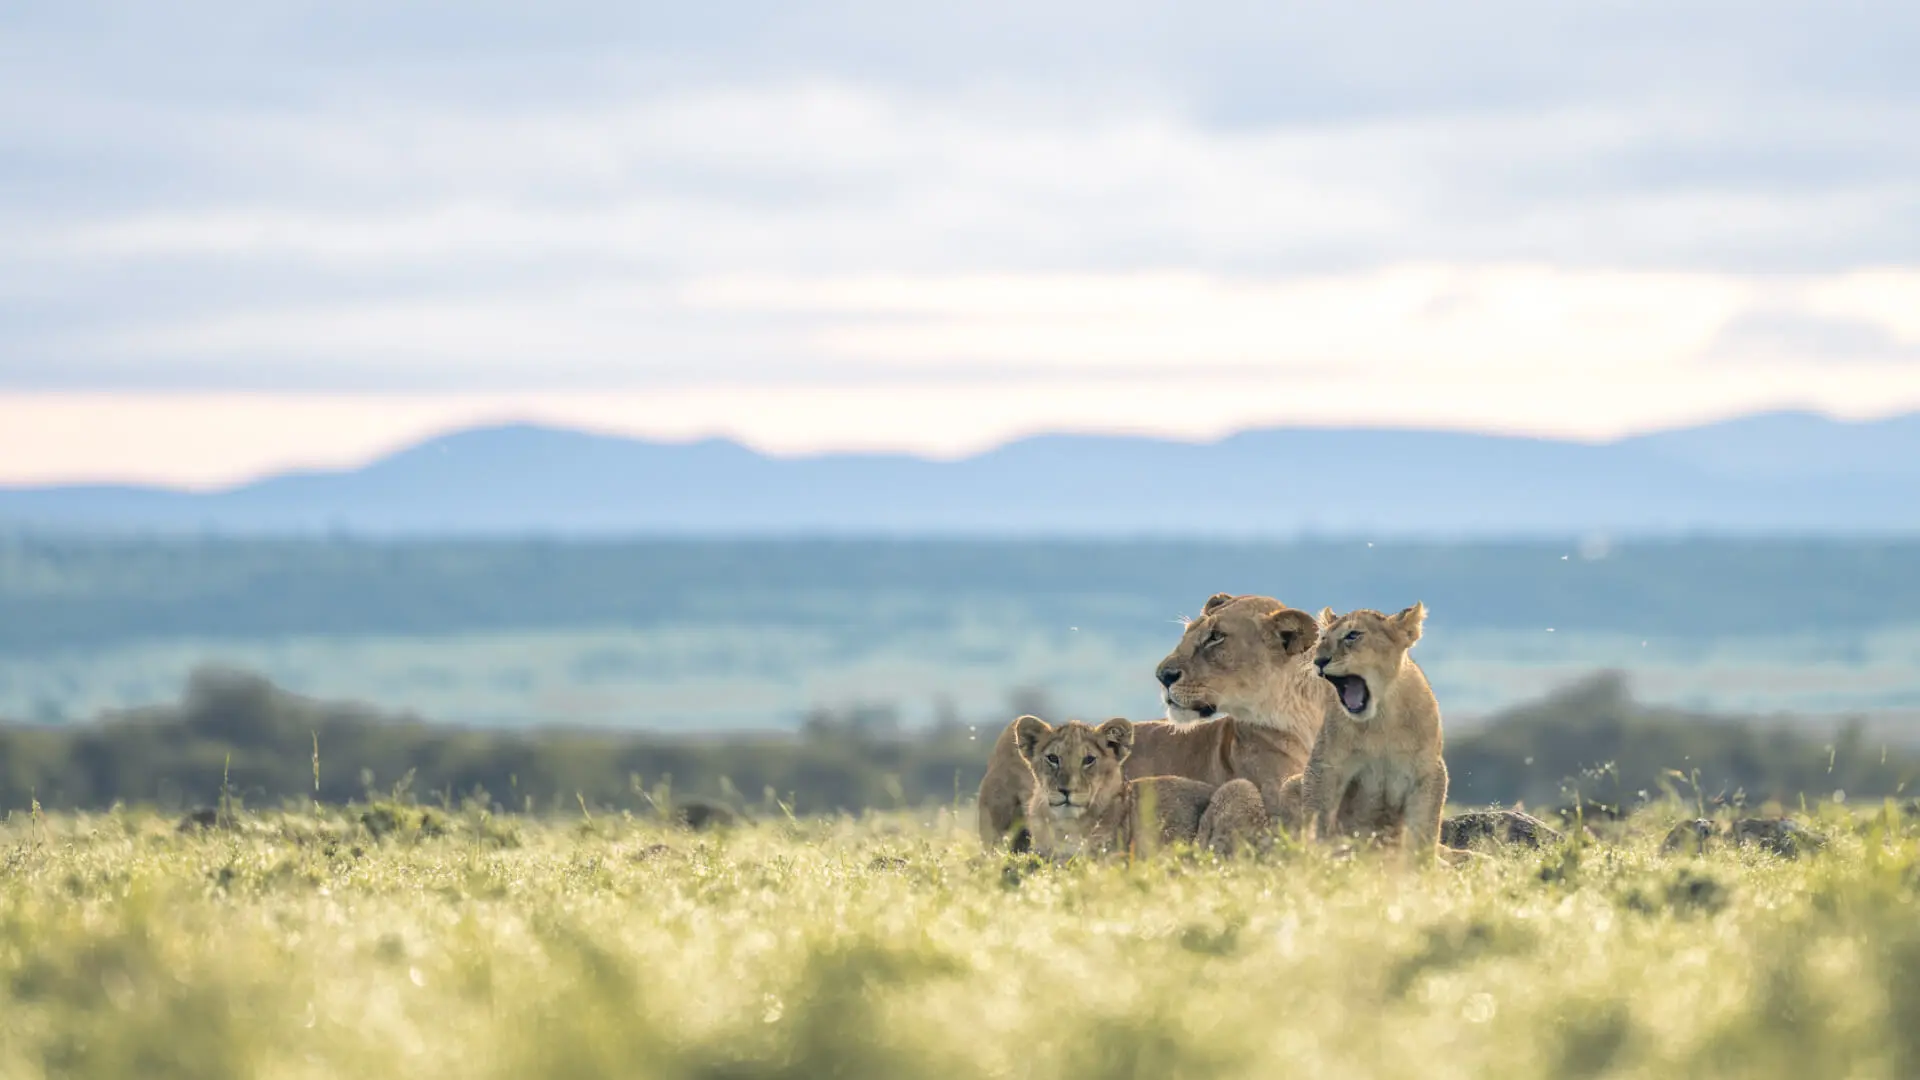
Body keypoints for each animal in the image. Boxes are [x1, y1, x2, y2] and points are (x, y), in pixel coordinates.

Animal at [1300, 603, 1461, 866]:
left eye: (1353, 635)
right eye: (1322, 638)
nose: (1319, 660)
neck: (1381, 719)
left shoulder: (1428, 771)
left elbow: (1424, 830)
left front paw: (1423, 868)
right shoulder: (1325, 766)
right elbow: (1318, 815)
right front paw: (1316, 856)